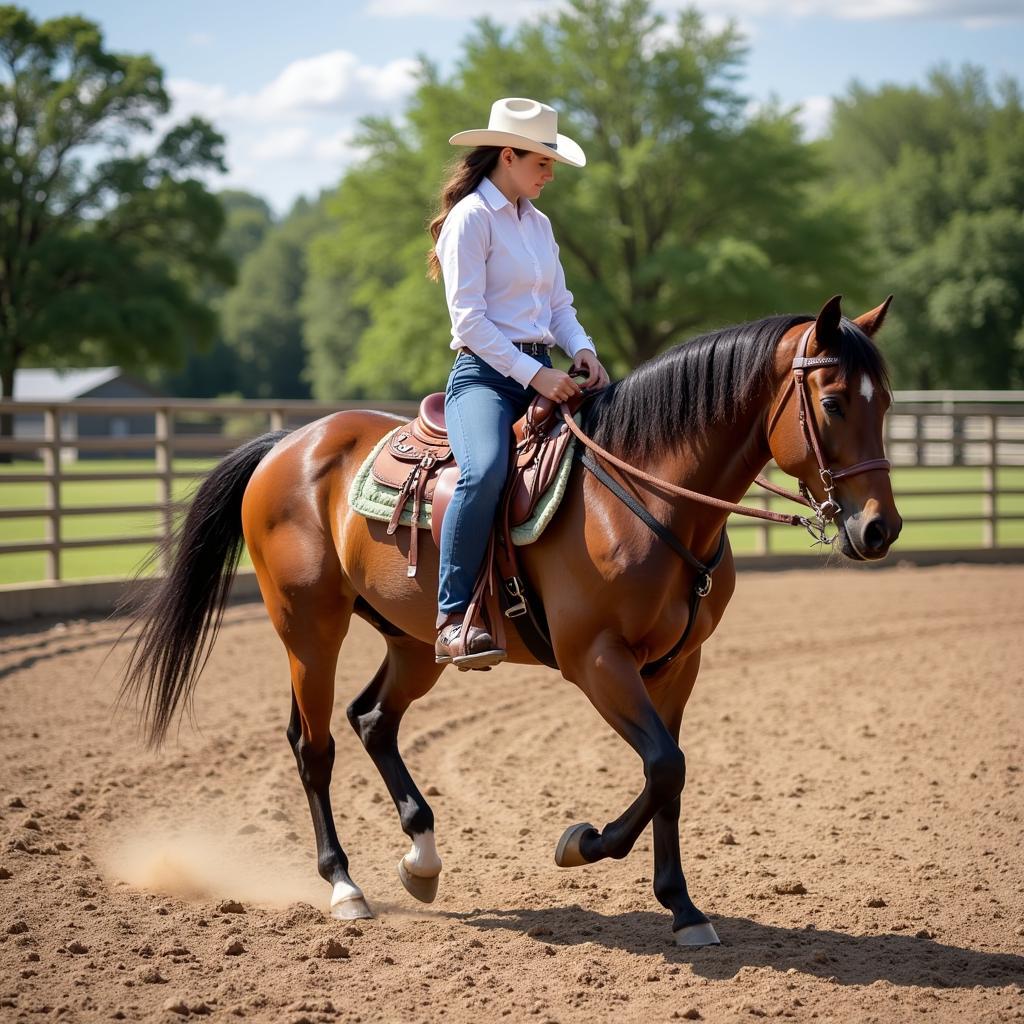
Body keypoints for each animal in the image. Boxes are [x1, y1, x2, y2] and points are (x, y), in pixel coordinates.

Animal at [119, 294, 901, 942]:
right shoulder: (596, 661)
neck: (643, 497)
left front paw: (682, 907)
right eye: (833, 402)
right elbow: (663, 765)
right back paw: (345, 887)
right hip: (309, 627)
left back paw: (421, 860)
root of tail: (288, 444)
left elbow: (670, 777)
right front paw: (582, 844)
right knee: (314, 746)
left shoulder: (679, 664)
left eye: (888, 401)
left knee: (373, 719)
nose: (880, 529)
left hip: (416, 643)